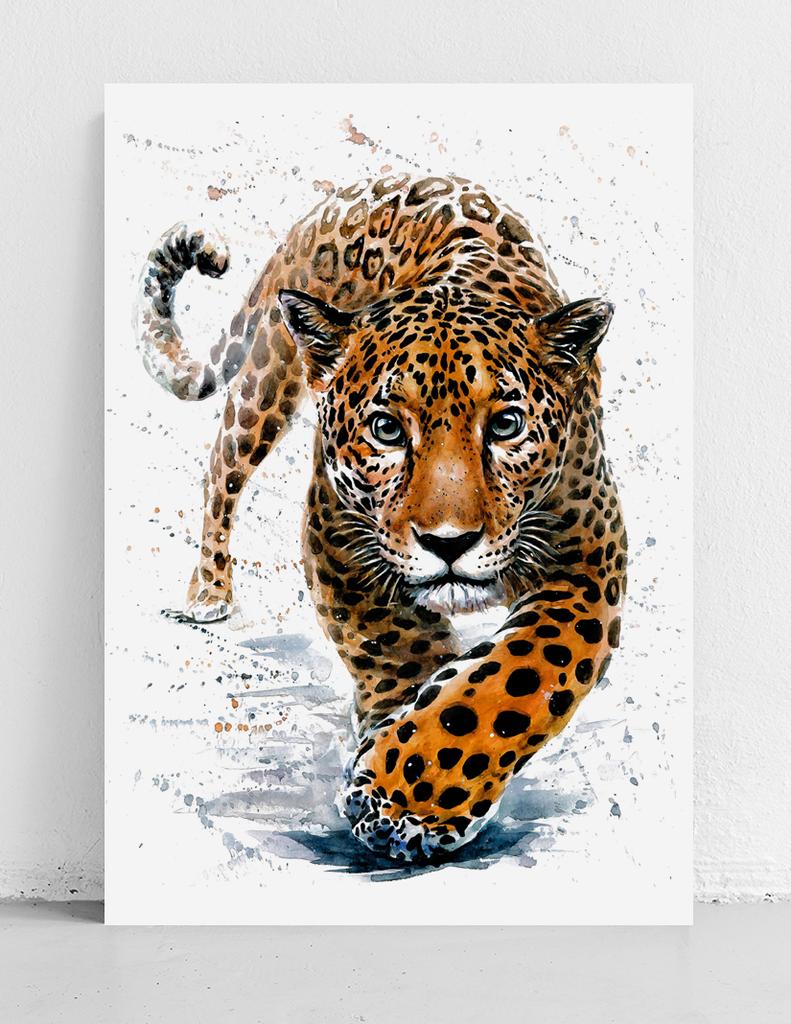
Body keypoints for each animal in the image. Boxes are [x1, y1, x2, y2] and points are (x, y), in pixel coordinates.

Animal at [136, 173, 627, 863]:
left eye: (506, 425)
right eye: (387, 429)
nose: (449, 542)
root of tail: (349, 190)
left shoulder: (588, 564)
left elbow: (514, 678)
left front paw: (410, 793)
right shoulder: (338, 538)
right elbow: (397, 647)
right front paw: (401, 778)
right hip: (267, 378)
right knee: (220, 469)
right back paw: (209, 590)